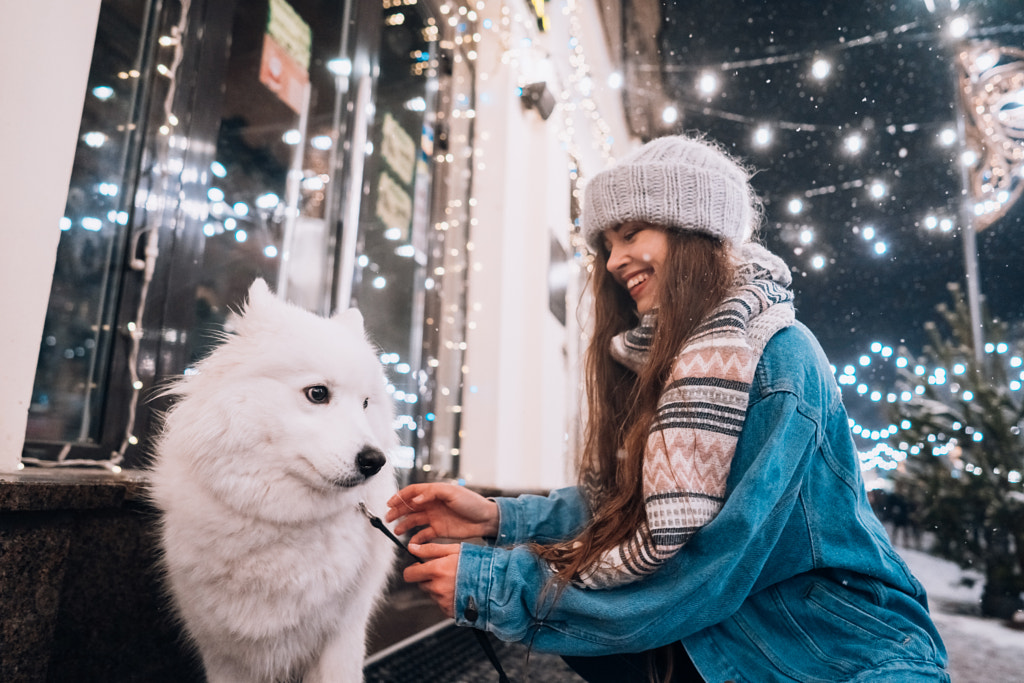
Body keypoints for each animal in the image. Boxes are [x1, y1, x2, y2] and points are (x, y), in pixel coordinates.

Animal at [149, 278, 397, 683]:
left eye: (365, 403)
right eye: (317, 394)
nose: (375, 461)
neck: (283, 520)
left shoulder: (342, 637)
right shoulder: (221, 650)